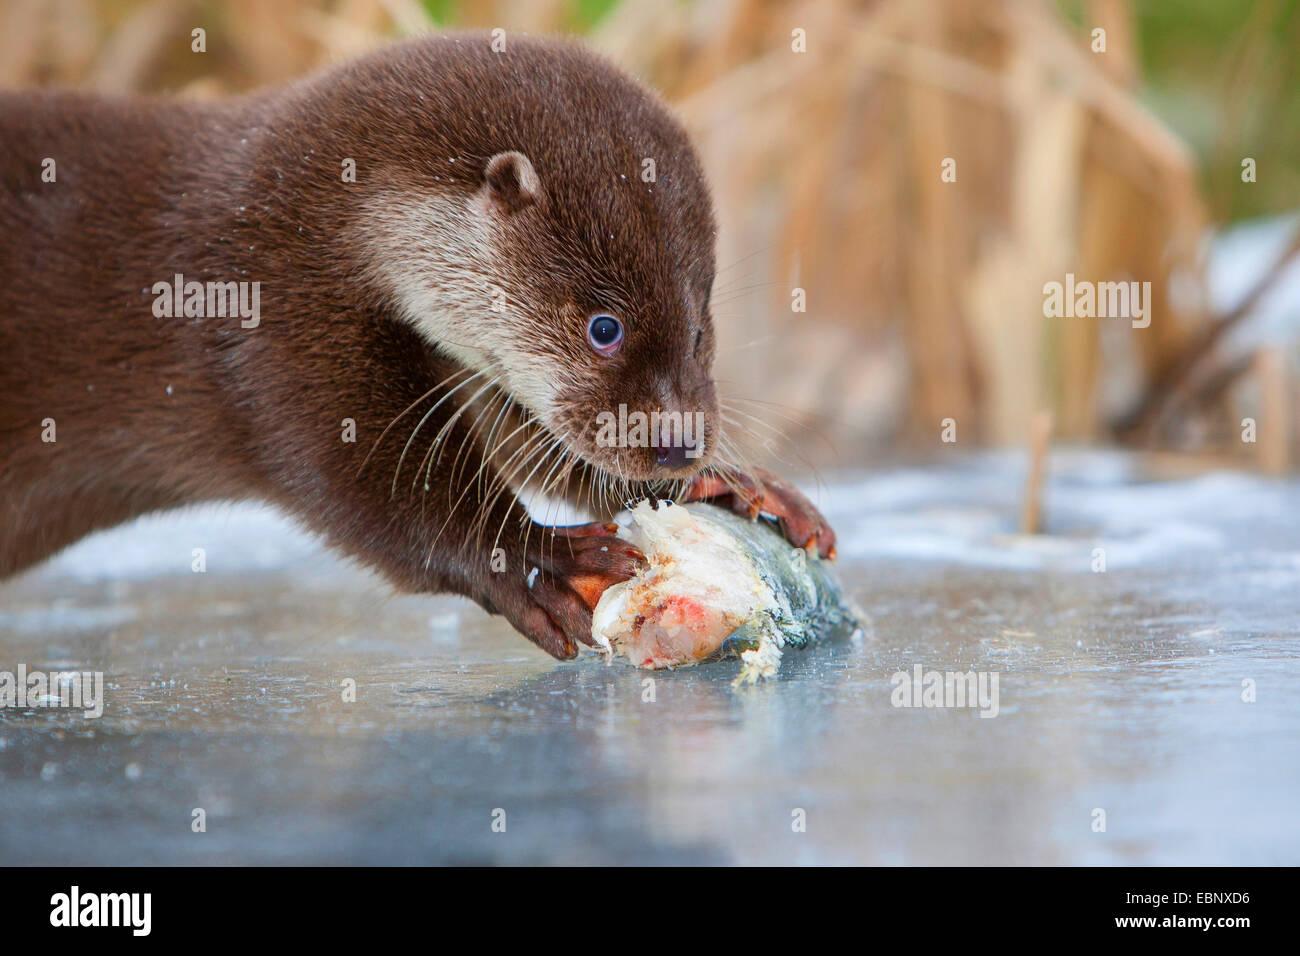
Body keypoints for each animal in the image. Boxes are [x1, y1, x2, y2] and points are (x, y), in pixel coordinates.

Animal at [0, 33, 832, 660]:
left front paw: (732, 483)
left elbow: (535, 444)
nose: (678, 442)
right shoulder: (273, 336)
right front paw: (537, 558)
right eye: (606, 327)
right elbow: (370, 490)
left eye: (698, 327)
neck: (294, 231)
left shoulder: (461, 368)